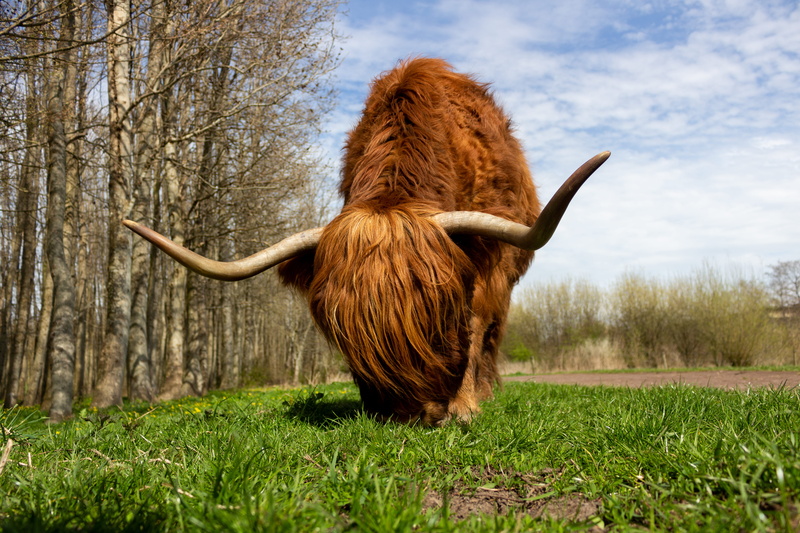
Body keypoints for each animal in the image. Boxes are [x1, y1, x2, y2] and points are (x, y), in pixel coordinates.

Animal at [124, 58, 609, 425]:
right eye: (343, 328)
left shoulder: (488, 269)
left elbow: (475, 326)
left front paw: (466, 405)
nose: (412, 414)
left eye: (441, 312)